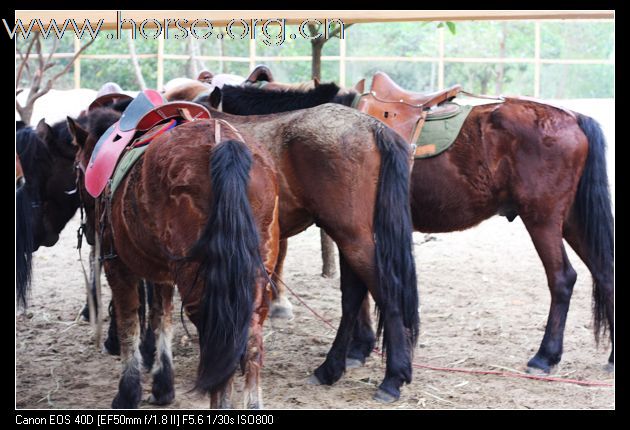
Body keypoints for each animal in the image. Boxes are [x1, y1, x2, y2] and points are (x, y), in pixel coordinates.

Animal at [210, 82, 616, 374]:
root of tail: (573, 116)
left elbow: (356, 290)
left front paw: (356, 350)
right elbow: (360, 290)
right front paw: (361, 348)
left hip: (542, 219)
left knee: (562, 279)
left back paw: (545, 356)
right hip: (570, 219)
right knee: (604, 271)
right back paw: (610, 360)